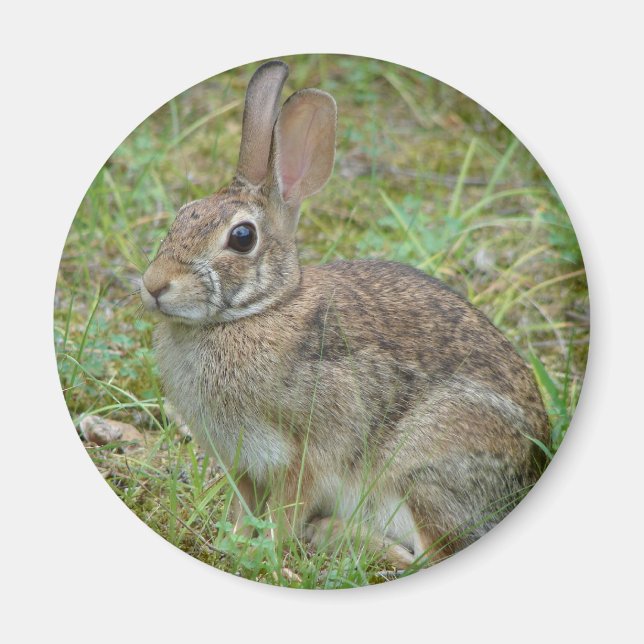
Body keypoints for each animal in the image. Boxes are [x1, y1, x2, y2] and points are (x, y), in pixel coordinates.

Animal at [140, 60, 550, 569]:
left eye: (242, 237)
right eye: (184, 213)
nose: (154, 284)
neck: (257, 311)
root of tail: (529, 474)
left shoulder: (308, 452)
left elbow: (287, 510)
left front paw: (264, 550)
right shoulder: (244, 463)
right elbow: (241, 507)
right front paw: (229, 540)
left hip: (422, 469)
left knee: (424, 556)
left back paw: (332, 534)